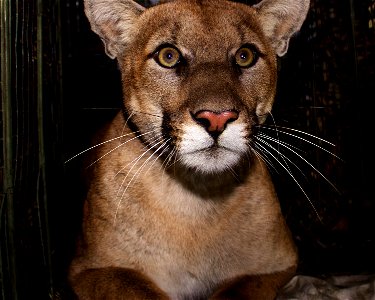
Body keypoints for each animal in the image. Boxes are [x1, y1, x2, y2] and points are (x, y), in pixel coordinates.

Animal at [67, 0, 312, 298]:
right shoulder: (93, 268)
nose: (217, 118)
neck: (197, 196)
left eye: (245, 56)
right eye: (168, 56)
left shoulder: (275, 266)